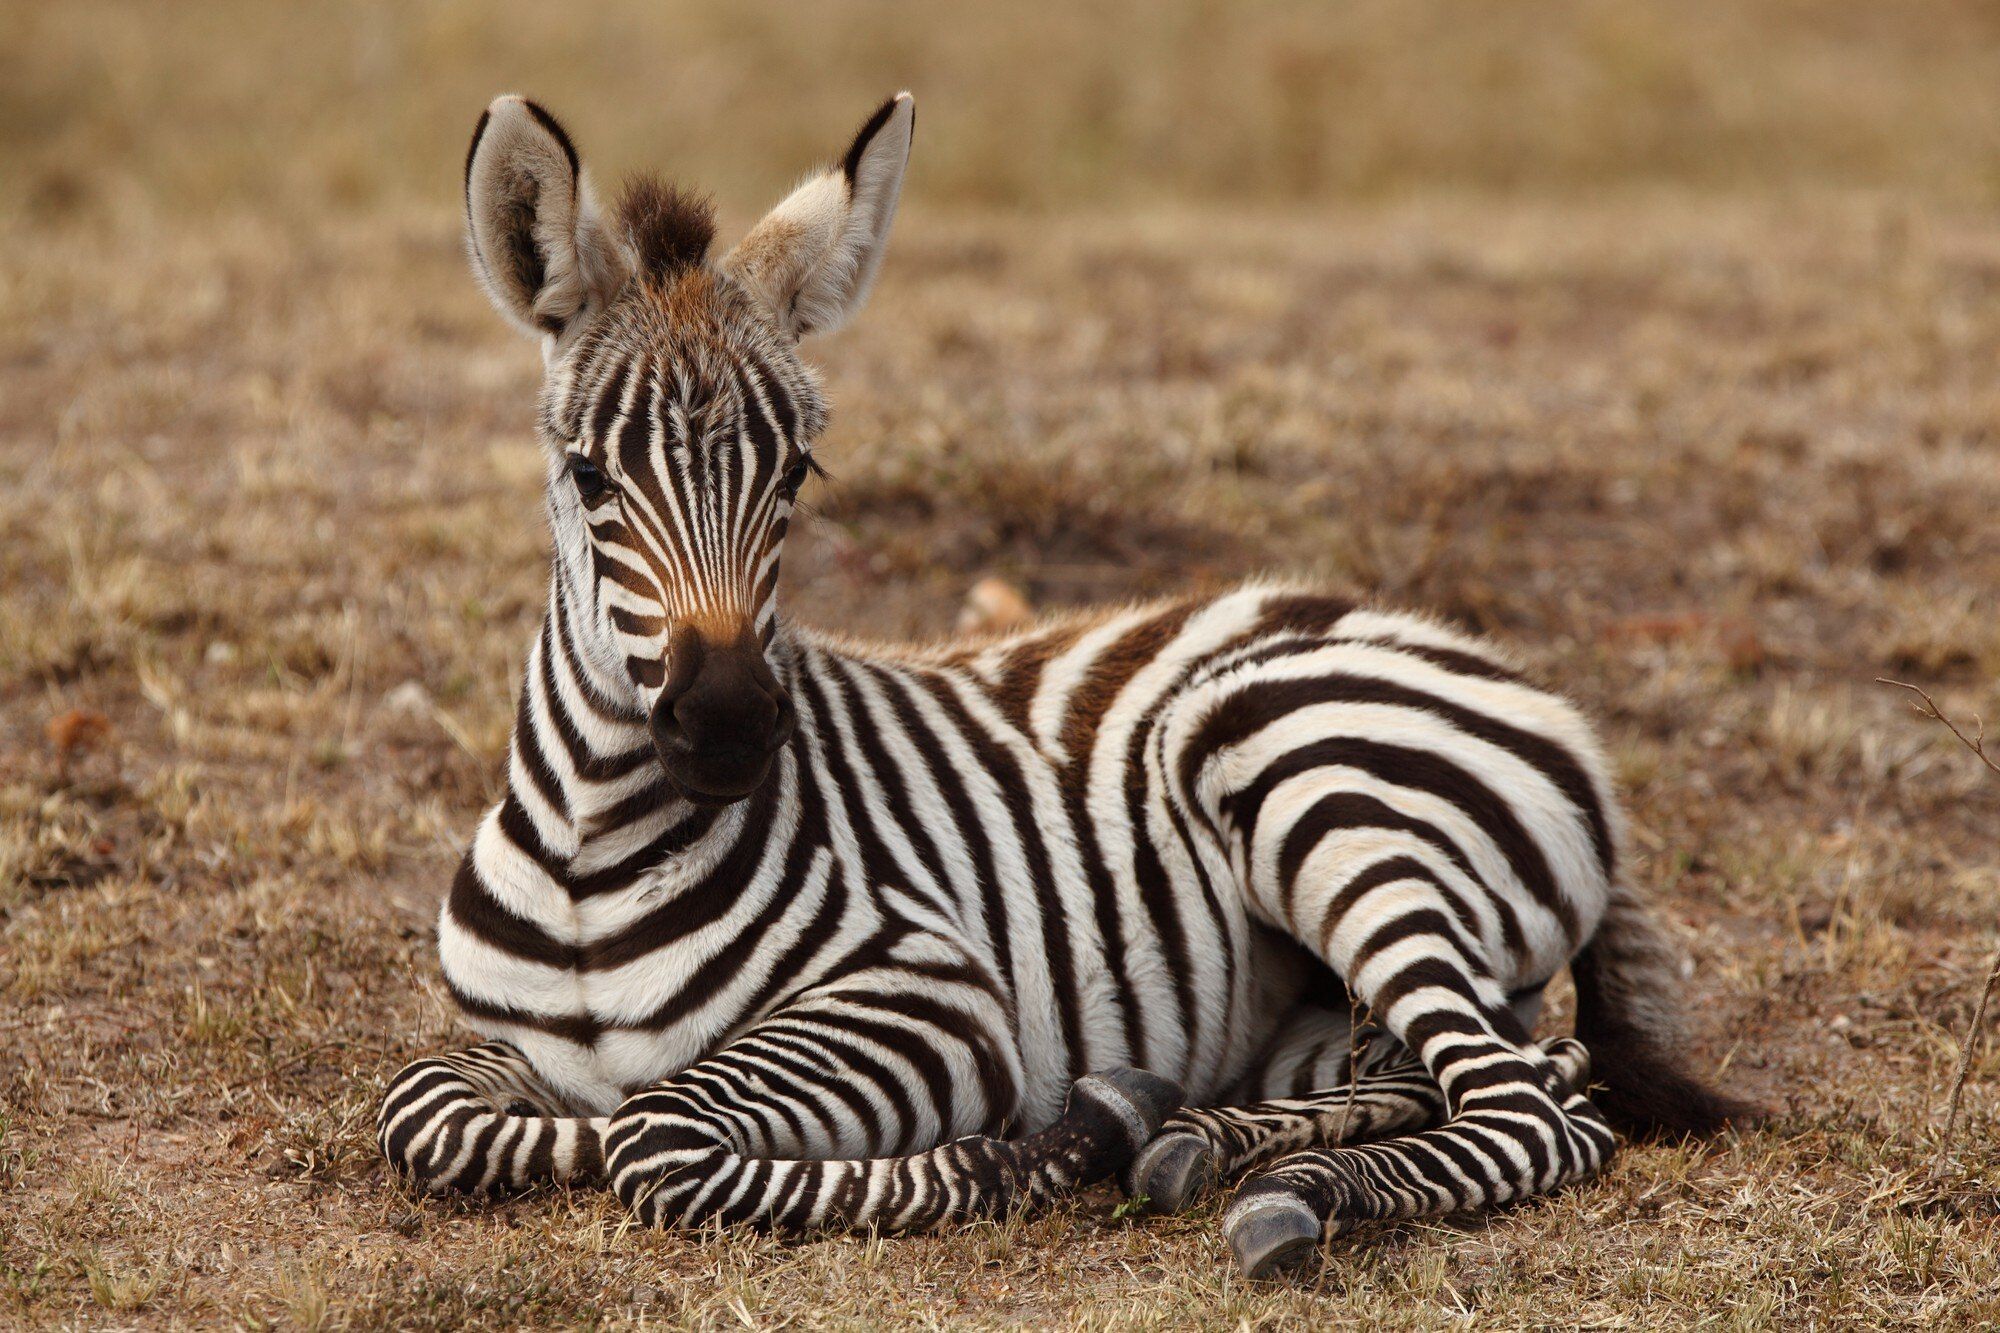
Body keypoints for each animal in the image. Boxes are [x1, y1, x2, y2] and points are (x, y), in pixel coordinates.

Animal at [376, 88, 1752, 1272]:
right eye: (587, 475)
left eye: (798, 475)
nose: (724, 728)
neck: (592, 850)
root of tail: (1480, 658)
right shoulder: (492, 1047)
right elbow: (429, 1109)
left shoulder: (931, 995)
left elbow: (654, 1135)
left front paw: (1043, 1147)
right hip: (1323, 1008)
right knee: (1494, 1073)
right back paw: (1196, 1140)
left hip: (1302, 776)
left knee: (1531, 1116)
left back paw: (1281, 1191)